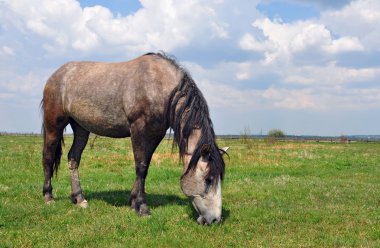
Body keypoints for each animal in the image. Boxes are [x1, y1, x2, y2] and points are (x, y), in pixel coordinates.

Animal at [40, 52, 229, 225]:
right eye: (208, 179)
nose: (215, 219)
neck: (159, 85)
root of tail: (57, 75)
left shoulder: (155, 133)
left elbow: (145, 165)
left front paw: (133, 203)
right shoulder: (139, 129)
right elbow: (141, 167)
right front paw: (142, 207)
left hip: (81, 128)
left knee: (73, 158)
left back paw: (79, 199)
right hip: (54, 126)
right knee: (48, 158)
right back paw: (48, 197)